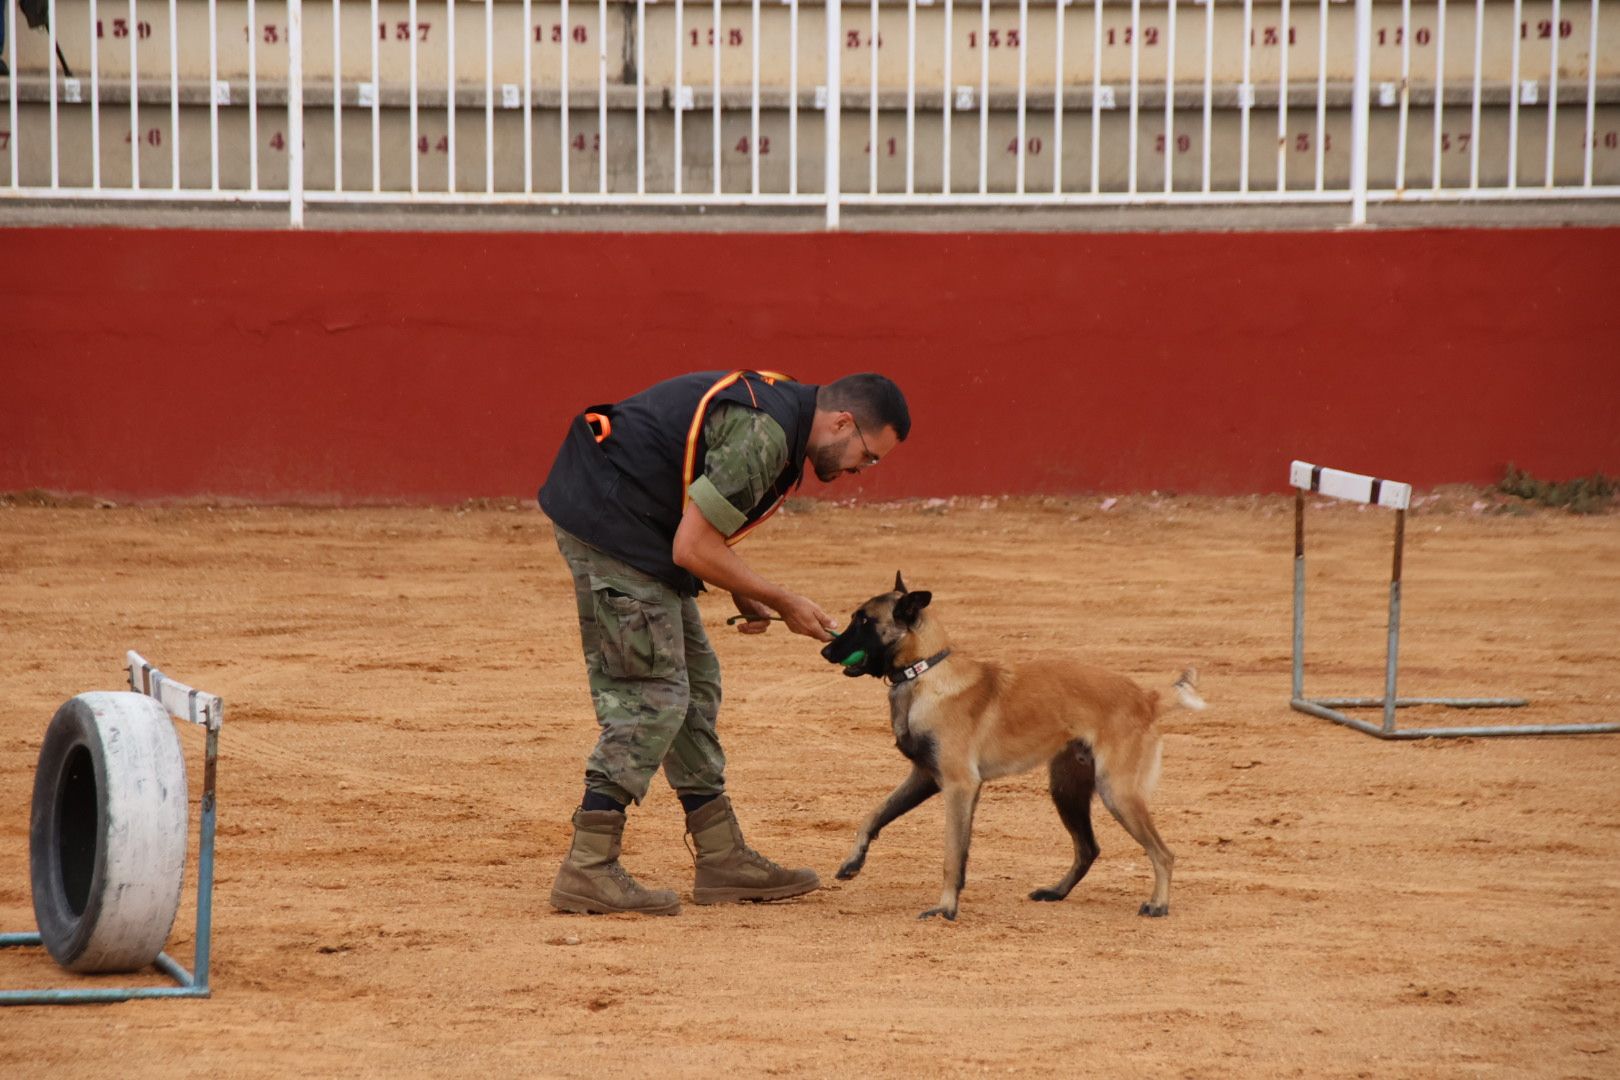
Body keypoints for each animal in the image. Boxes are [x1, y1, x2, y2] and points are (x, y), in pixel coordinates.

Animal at [822, 573, 1205, 919]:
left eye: (864, 620)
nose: (826, 649)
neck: (924, 672)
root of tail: (1146, 697)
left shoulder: (958, 785)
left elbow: (951, 855)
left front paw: (945, 908)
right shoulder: (925, 778)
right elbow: (874, 814)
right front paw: (854, 860)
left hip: (1117, 793)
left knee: (1163, 853)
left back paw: (1158, 904)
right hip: (1067, 790)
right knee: (1088, 849)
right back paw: (1056, 891)